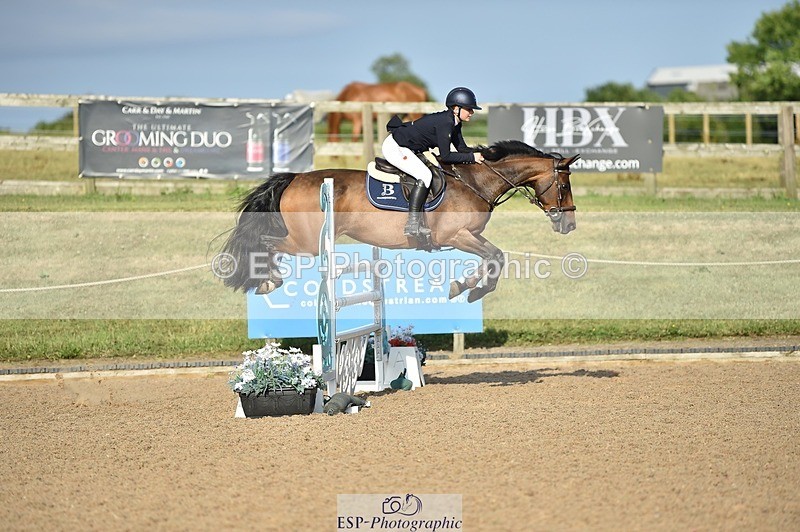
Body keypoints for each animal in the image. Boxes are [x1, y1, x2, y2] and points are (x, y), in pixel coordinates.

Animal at [220, 140, 579, 303]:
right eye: (564, 185)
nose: (569, 226)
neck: (476, 181)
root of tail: (293, 178)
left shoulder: (467, 236)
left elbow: (494, 257)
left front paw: (466, 287)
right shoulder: (457, 235)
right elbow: (494, 256)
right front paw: (471, 289)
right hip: (308, 242)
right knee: (265, 243)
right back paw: (268, 280)